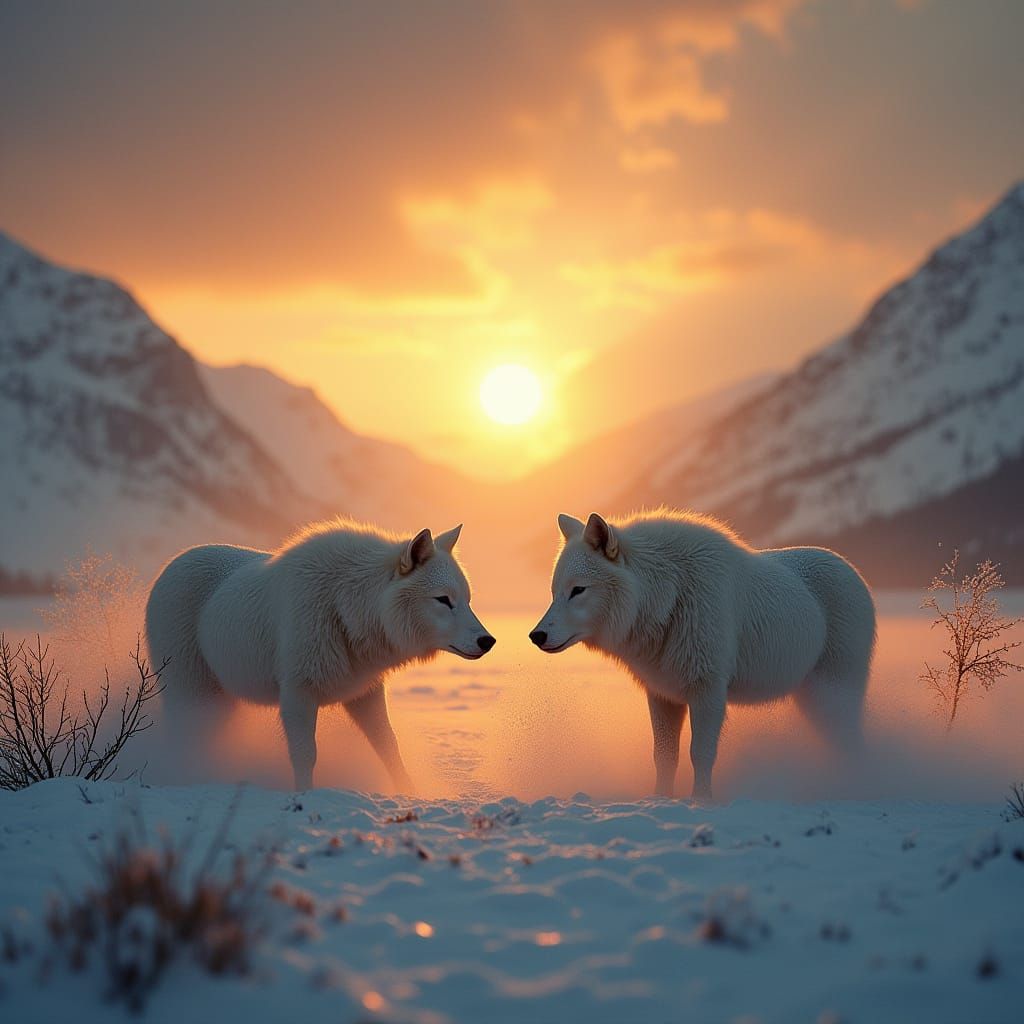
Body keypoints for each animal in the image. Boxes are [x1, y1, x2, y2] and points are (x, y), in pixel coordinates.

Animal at [146, 520, 494, 791]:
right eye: (443, 600)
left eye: (467, 600)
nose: (488, 640)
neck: (348, 606)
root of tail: (169, 566)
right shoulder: (297, 693)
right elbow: (305, 755)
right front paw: (304, 796)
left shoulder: (365, 693)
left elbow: (389, 747)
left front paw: (409, 792)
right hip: (193, 695)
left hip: (220, 701)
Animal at [530, 510, 876, 800]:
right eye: (555, 592)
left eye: (578, 590)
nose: (536, 636)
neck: (665, 597)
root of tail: (855, 572)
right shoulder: (662, 694)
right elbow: (664, 755)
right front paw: (660, 799)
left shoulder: (707, 690)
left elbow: (701, 753)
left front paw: (702, 801)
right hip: (813, 699)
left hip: (832, 693)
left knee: (854, 741)